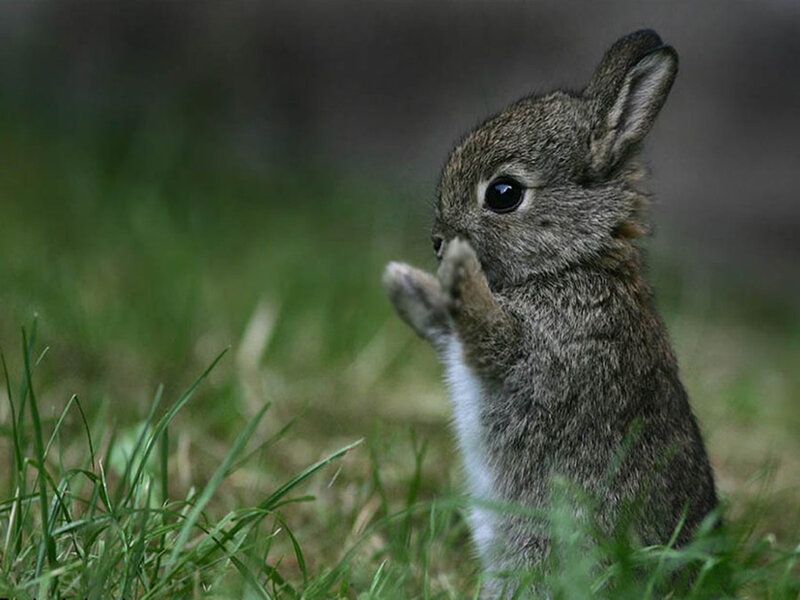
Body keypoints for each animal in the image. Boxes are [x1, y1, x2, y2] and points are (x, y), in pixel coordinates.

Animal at [383, 29, 717, 595]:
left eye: (503, 193)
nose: (437, 241)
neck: (573, 261)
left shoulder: (542, 356)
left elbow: (487, 333)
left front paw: (459, 270)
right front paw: (404, 282)